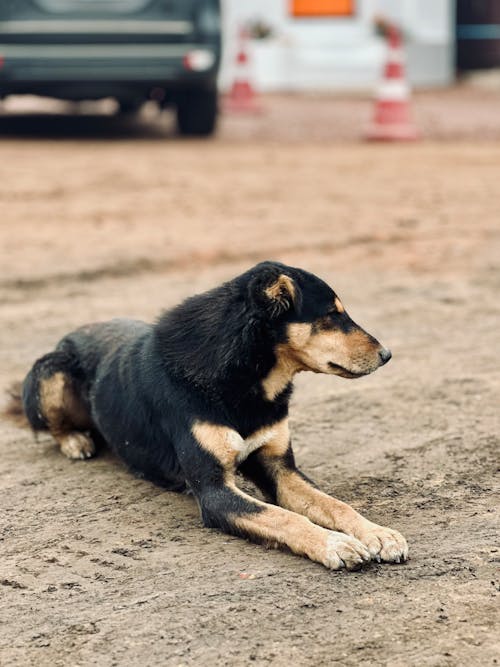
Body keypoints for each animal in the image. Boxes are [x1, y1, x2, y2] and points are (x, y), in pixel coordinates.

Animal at [6, 264, 406, 572]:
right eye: (331, 315)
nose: (388, 354)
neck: (245, 378)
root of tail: (71, 333)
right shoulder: (214, 490)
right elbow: (285, 517)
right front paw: (334, 544)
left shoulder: (279, 469)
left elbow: (335, 504)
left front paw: (377, 533)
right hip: (50, 371)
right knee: (51, 425)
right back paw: (76, 440)